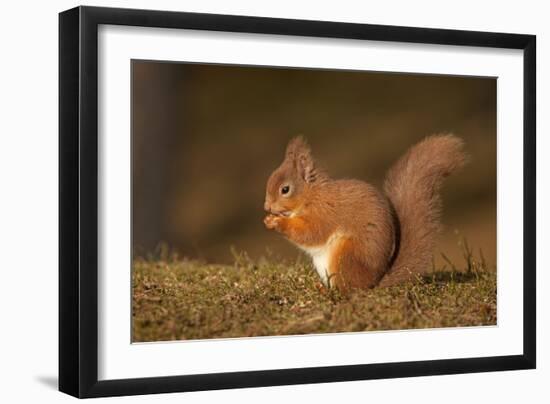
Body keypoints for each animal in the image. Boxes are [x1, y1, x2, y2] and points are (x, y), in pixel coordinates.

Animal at [266, 135, 468, 290]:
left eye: (285, 189)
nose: (267, 208)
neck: (312, 195)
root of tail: (373, 282)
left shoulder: (325, 213)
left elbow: (311, 233)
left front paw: (277, 222)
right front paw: (269, 219)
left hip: (346, 255)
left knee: (349, 289)